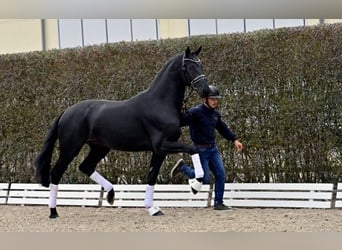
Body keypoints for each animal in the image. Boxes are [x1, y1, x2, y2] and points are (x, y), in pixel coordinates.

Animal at [36, 46, 210, 218]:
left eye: (201, 65)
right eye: (189, 66)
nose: (206, 90)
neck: (159, 103)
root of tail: (66, 111)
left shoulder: (159, 151)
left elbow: (152, 176)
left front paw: (152, 208)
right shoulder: (162, 145)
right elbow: (192, 148)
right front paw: (195, 185)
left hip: (100, 148)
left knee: (86, 166)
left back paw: (111, 194)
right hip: (70, 148)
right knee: (56, 173)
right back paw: (53, 212)